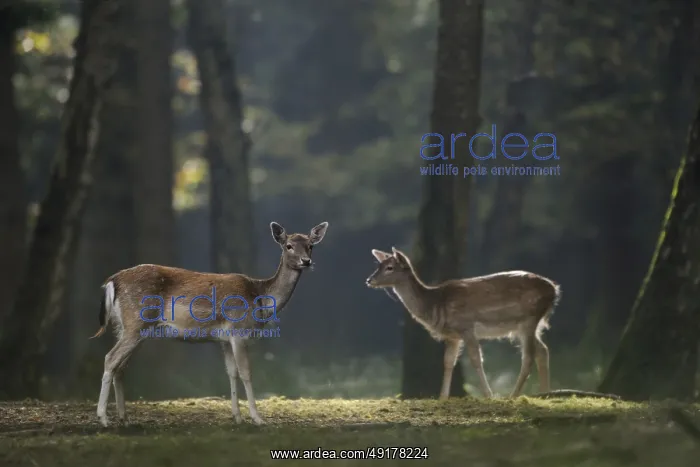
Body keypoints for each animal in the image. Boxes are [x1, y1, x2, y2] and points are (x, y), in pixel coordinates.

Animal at [89, 221, 329, 427]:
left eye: (311, 245)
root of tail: (112, 281)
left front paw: (237, 417)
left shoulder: (224, 339)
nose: (306, 261)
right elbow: (246, 372)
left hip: (127, 327)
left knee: (121, 366)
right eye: (288, 246)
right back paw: (103, 418)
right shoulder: (239, 331)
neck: (261, 299)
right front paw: (257, 419)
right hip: (135, 323)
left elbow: (231, 372)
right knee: (110, 359)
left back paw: (124, 419)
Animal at [365, 247, 561, 400]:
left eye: (390, 267)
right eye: (378, 265)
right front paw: (443, 398)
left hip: (529, 319)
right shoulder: (453, 336)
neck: (435, 304)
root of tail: (554, 290)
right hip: (523, 326)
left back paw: (513, 396)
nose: (369, 280)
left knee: (528, 357)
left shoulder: (466, 327)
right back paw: (545, 393)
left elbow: (476, 360)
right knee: (543, 350)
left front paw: (489, 396)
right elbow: (448, 362)